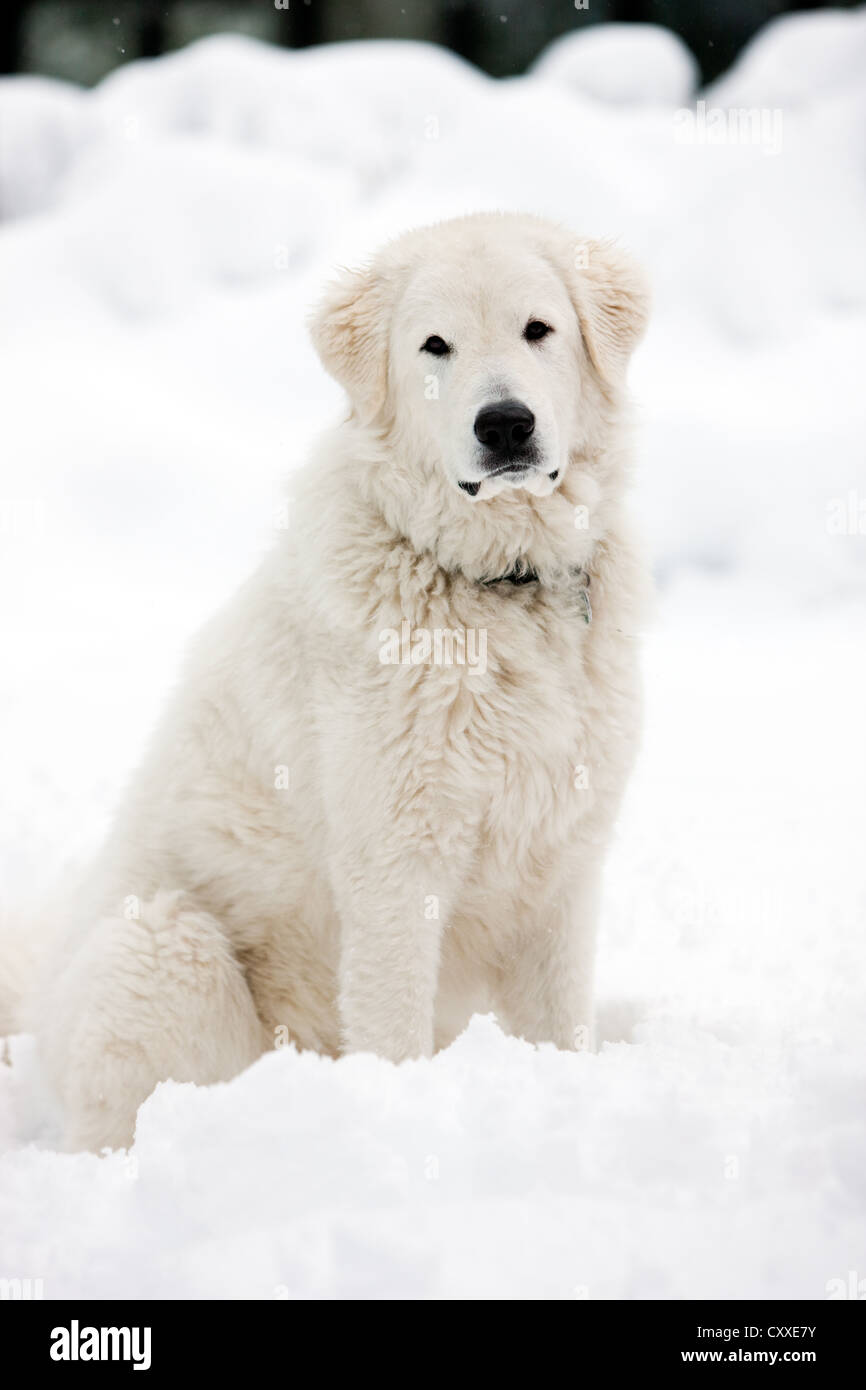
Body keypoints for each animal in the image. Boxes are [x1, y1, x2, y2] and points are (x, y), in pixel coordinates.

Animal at [6, 214, 647, 1150]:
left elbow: (561, 1027)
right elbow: (391, 1027)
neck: (495, 585)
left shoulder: (563, 863)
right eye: (435, 345)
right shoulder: (396, 866)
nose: (506, 425)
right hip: (167, 950)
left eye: (539, 329)